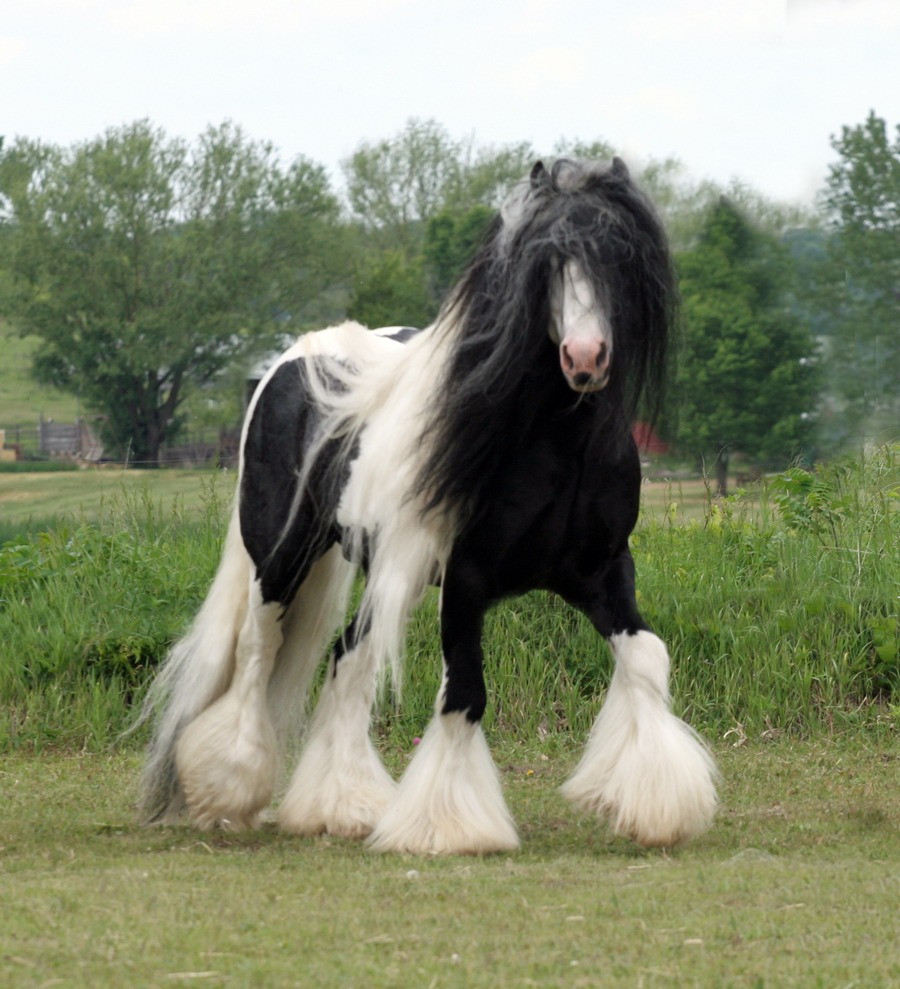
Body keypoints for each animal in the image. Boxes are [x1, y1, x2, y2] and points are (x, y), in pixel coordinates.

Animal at [139, 156, 716, 848]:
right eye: (543, 263)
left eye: (619, 256)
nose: (585, 357)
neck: (555, 446)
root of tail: (292, 359)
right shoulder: (465, 580)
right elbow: (465, 692)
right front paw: (448, 828)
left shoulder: (601, 571)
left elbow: (648, 659)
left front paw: (655, 802)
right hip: (279, 556)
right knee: (259, 651)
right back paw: (228, 787)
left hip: (392, 574)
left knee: (347, 658)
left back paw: (341, 807)